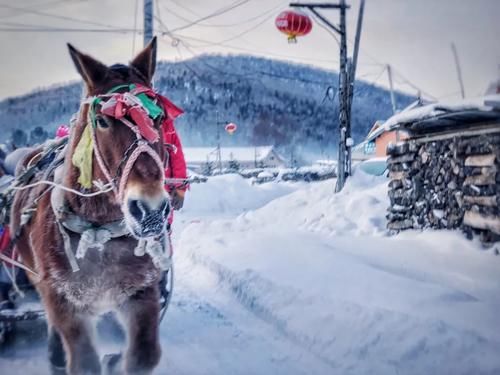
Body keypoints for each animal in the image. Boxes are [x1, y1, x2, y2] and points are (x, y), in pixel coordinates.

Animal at [9, 37, 169, 374]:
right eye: (103, 121)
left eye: (159, 117)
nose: (149, 210)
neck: (99, 231)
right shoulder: (64, 300)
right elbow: (84, 363)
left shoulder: (141, 292)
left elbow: (143, 356)